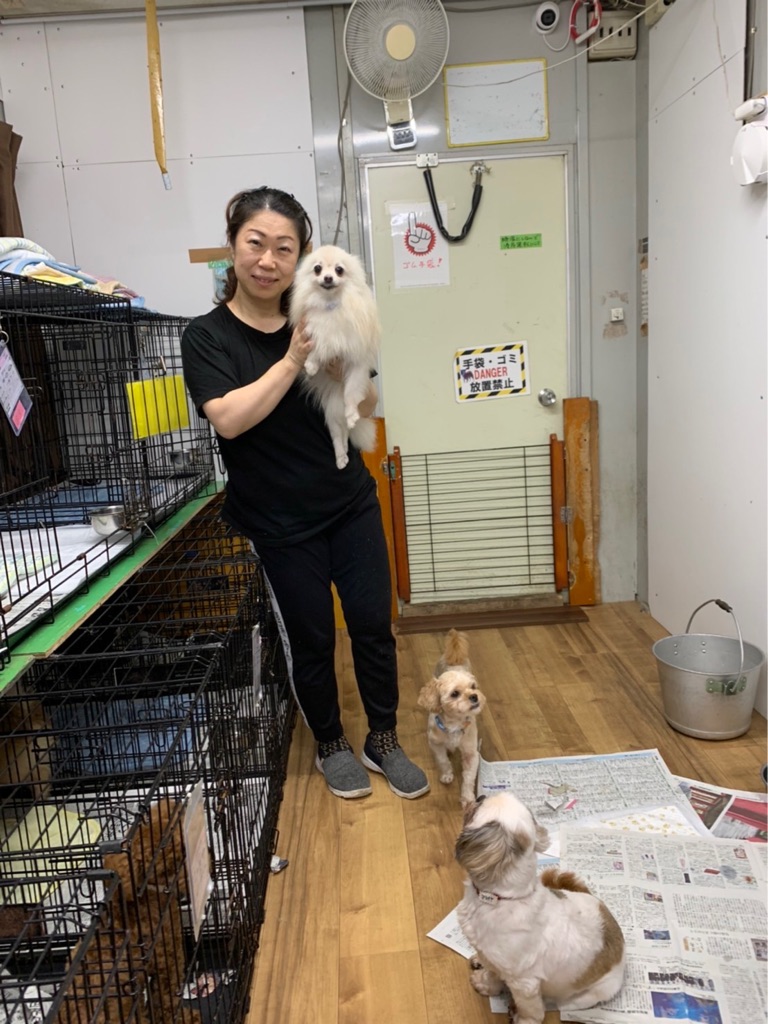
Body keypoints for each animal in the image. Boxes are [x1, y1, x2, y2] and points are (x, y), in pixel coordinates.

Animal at [289, 244, 380, 470]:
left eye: (339, 270)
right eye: (317, 269)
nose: (328, 277)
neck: (330, 305)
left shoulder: (356, 362)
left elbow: (352, 392)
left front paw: (352, 413)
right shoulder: (314, 332)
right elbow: (318, 348)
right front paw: (311, 365)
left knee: (345, 430)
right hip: (331, 415)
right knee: (338, 436)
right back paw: (340, 457)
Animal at [417, 629, 486, 807]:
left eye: (473, 687)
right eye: (455, 693)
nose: (474, 696)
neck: (455, 724)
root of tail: (455, 660)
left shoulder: (470, 753)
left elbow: (468, 778)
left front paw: (467, 798)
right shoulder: (435, 744)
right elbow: (442, 760)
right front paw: (447, 775)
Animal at [455, 792, 626, 1024]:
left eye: (478, 806)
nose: (479, 794)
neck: (500, 899)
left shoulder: (524, 982)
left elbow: (531, 1010)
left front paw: (523, 1018)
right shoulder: (493, 959)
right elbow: (492, 974)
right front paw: (486, 982)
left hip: (584, 997)